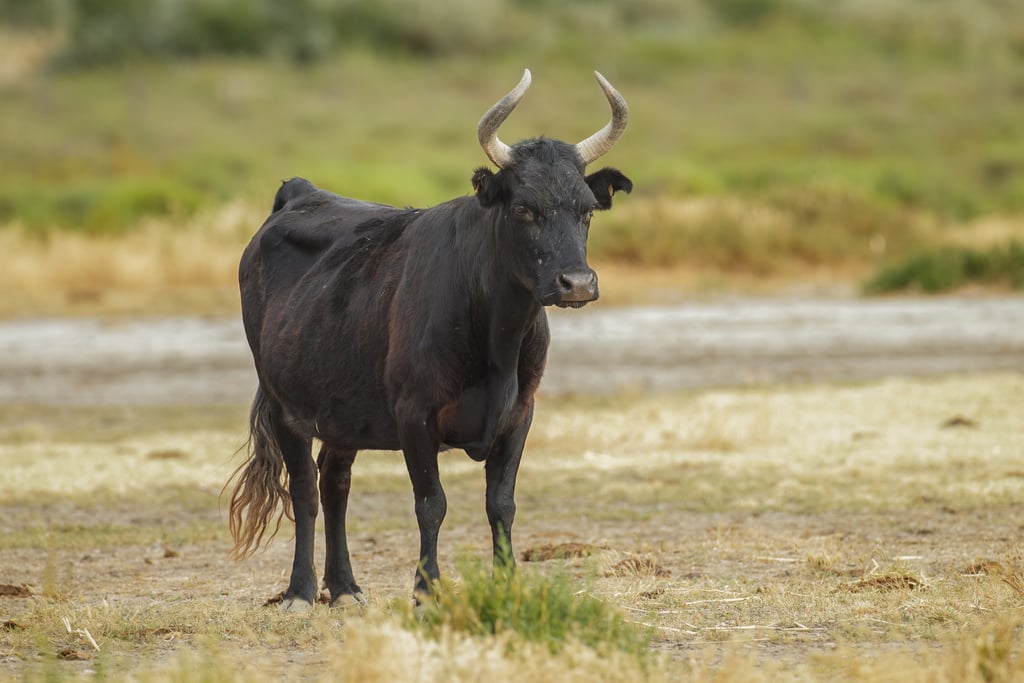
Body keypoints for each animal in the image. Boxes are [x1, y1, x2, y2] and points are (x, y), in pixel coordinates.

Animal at [230, 69, 630, 606]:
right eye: (523, 209)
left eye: (587, 210)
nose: (578, 283)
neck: (496, 343)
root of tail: (300, 191)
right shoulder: (414, 415)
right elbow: (431, 504)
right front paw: (426, 589)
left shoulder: (519, 414)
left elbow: (501, 503)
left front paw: (507, 584)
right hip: (283, 403)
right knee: (305, 490)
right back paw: (301, 591)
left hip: (343, 410)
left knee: (335, 482)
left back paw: (345, 587)